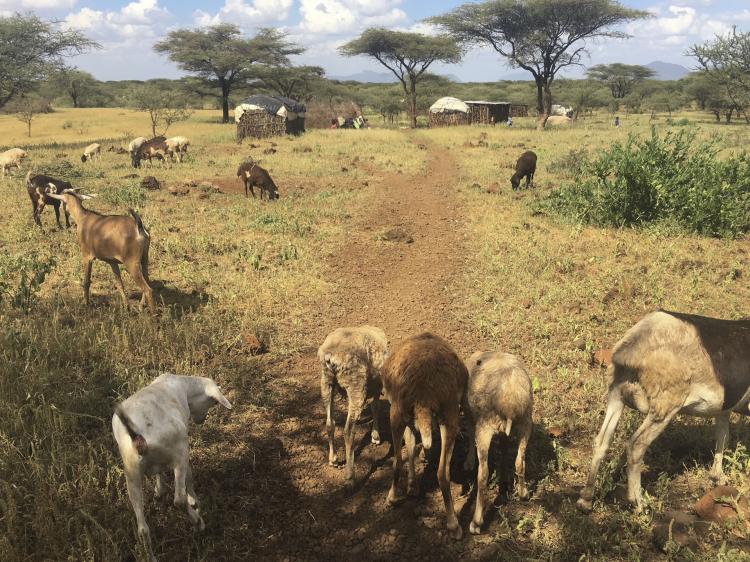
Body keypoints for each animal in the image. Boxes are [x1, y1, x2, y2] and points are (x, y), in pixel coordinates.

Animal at [113, 373, 232, 562]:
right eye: (213, 402)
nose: (201, 420)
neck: (183, 386)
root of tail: (138, 438)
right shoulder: (183, 452)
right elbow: (189, 482)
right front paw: (196, 503)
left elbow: (159, 474)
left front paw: (158, 492)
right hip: (179, 455)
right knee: (178, 500)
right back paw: (198, 522)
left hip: (131, 472)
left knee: (143, 529)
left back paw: (151, 556)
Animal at [318, 326, 388, 484]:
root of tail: (331, 356)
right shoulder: (377, 385)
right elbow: (375, 408)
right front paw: (376, 436)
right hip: (356, 383)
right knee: (348, 431)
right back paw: (350, 476)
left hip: (326, 382)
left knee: (330, 423)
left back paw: (333, 459)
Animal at [381, 332, 468, 540]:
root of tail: (424, 394)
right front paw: (412, 486)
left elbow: (410, 446)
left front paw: (412, 486)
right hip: (449, 417)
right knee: (441, 472)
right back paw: (453, 525)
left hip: (397, 413)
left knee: (398, 460)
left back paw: (391, 499)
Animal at [463, 351, 533, 535]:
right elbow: (505, 449)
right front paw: (504, 478)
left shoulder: (470, 414)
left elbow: (469, 433)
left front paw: (468, 461)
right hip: (525, 422)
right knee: (519, 462)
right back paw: (523, 494)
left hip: (485, 426)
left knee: (483, 474)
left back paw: (476, 522)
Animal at [578, 310, 750, 513]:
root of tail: (632, 348)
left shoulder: (723, 410)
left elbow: (722, 437)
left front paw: (717, 477)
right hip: (663, 407)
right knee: (636, 444)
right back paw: (638, 503)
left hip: (616, 395)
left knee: (601, 441)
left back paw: (585, 500)